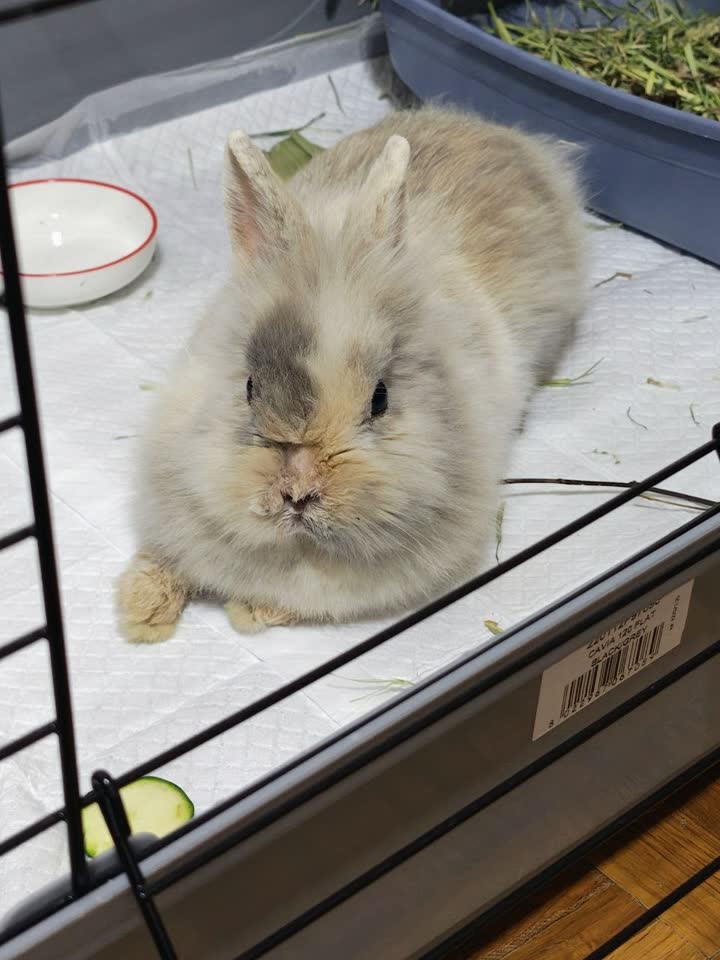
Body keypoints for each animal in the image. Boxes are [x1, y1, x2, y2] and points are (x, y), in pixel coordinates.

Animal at [116, 106, 587, 641]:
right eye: (249, 386)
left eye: (380, 398)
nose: (297, 494)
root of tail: (500, 133)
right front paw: (140, 611)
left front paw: (245, 612)